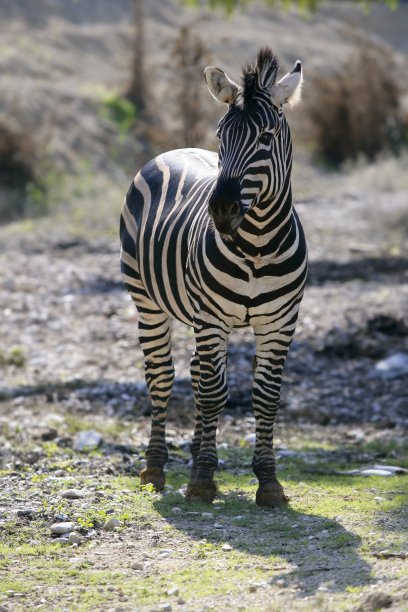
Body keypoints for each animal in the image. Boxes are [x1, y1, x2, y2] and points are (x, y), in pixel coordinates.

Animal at [120, 47, 306, 506]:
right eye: (221, 136)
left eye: (266, 138)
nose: (221, 210)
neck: (257, 245)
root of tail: (174, 150)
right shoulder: (213, 318)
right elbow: (214, 393)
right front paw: (203, 479)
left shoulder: (281, 324)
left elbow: (265, 397)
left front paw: (268, 481)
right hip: (148, 303)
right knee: (163, 378)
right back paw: (157, 467)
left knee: (195, 372)